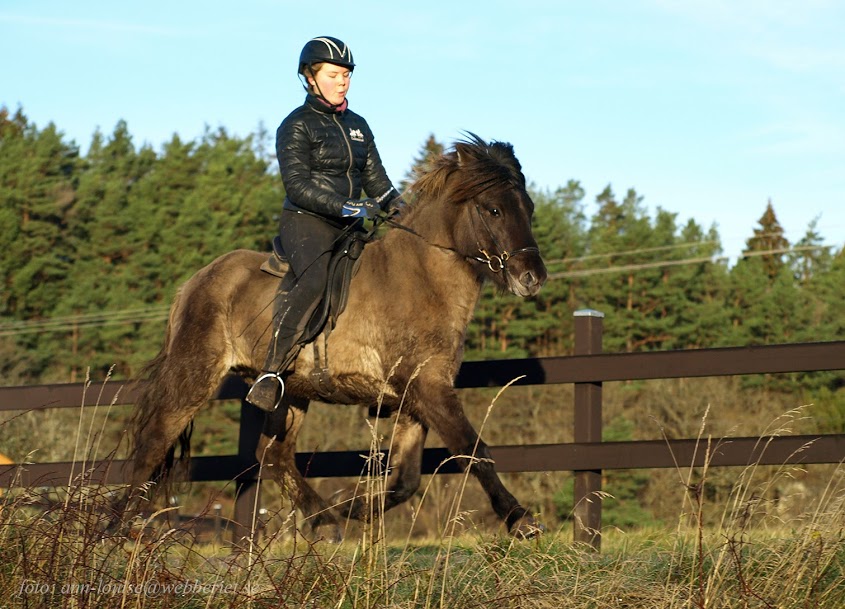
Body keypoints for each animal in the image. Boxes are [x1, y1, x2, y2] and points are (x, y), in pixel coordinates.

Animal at [118, 135, 548, 540]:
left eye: (528, 208)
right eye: (493, 209)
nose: (532, 278)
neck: (421, 277)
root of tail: (194, 282)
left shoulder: (415, 395)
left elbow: (406, 480)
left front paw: (351, 508)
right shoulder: (428, 388)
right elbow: (472, 449)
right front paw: (521, 519)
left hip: (289, 391)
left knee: (272, 454)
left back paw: (324, 520)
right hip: (195, 375)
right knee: (153, 442)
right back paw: (119, 528)